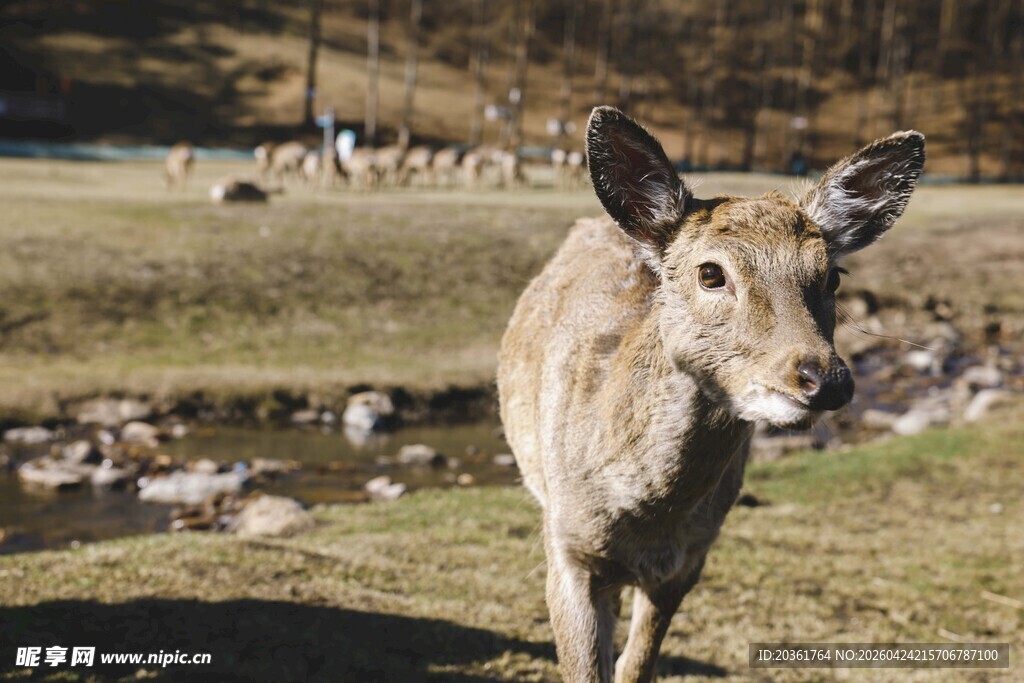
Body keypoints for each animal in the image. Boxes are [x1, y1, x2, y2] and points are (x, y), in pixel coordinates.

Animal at [497, 106, 924, 683]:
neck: (647, 519)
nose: (825, 378)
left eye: (833, 275)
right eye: (710, 273)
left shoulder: (690, 560)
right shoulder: (566, 549)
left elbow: (637, 667)